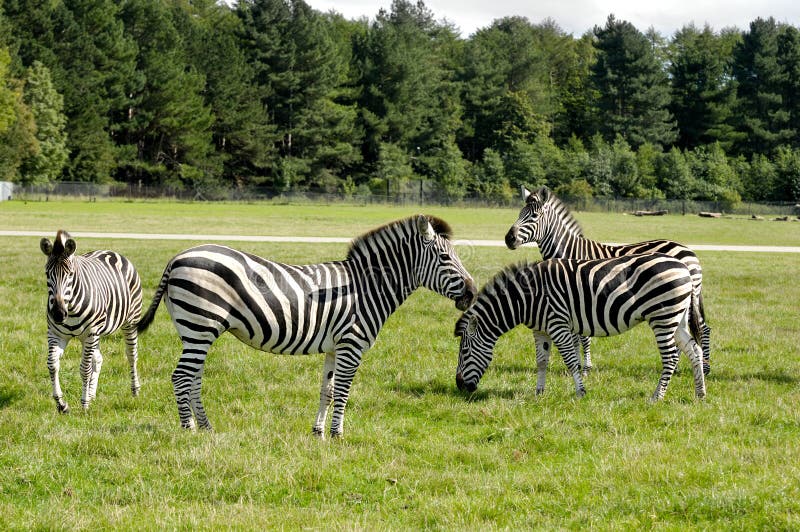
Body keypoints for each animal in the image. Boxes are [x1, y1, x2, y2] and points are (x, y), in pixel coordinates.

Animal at [40, 231, 145, 414]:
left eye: (70, 274)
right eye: (47, 274)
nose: (58, 314)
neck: (70, 308)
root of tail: (110, 251)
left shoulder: (90, 334)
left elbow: (84, 369)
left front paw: (84, 405)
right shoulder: (56, 334)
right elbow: (52, 365)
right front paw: (61, 404)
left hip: (129, 322)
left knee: (132, 355)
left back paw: (134, 390)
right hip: (93, 336)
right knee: (99, 359)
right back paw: (92, 394)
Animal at [137, 214, 476, 438]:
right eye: (445, 257)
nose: (472, 293)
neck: (367, 287)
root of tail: (177, 257)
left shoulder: (335, 347)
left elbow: (327, 390)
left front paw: (319, 433)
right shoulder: (352, 345)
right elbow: (343, 391)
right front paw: (338, 435)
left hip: (196, 331)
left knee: (193, 378)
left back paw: (207, 427)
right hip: (200, 326)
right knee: (182, 377)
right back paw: (189, 430)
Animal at [456, 256, 708, 402]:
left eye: (464, 353)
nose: (459, 386)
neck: (527, 299)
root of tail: (684, 266)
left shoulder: (558, 324)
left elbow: (570, 361)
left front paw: (580, 393)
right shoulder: (540, 330)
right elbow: (541, 361)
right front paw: (539, 393)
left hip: (662, 317)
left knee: (671, 357)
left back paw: (656, 397)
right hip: (677, 317)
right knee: (694, 350)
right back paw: (700, 394)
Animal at [506, 186, 712, 374]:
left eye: (534, 216)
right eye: (519, 214)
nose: (508, 239)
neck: (570, 252)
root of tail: (690, 251)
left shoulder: (581, 295)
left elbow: (583, 336)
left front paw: (585, 368)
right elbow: (574, 335)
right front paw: (576, 365)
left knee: (702, 328)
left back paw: (705, 368)